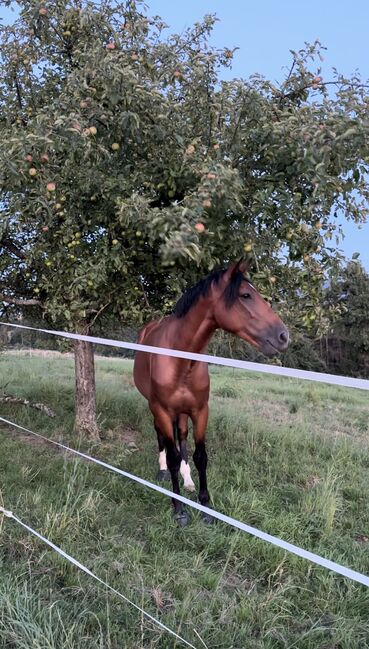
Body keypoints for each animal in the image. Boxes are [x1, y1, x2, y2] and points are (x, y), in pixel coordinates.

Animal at [134, 260, 288, 528]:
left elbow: (200, 456)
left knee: (181, 437)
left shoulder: (200, 410)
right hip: (156, 409)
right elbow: (173, 455)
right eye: (245, 295)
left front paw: (205, 507)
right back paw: (162, 470)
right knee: (162, 437)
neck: (180, 359)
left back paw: (187, 480)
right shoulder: (162, 409)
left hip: (182, 412)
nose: (283, 336)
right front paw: (179, 509)